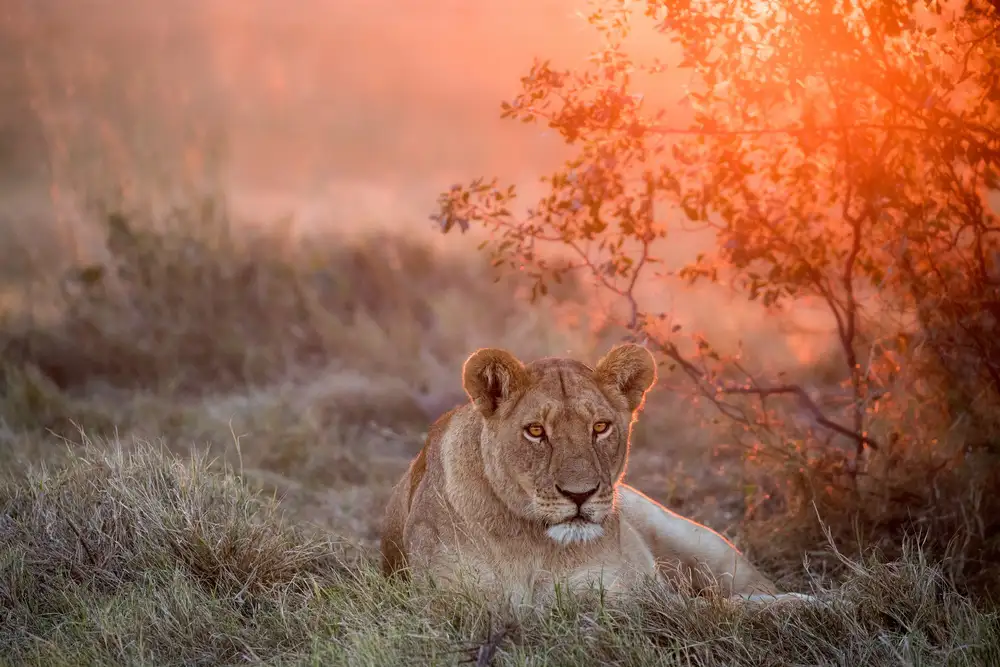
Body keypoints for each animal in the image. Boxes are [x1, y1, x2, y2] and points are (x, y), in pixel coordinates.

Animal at [381, 344, 813, 606]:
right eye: (535, 431)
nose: (580, 495)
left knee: (749, 588)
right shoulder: (454, 602)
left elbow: (714, 610)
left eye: (600, 427)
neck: (534, 546)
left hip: (700, 542)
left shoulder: (628, 595)